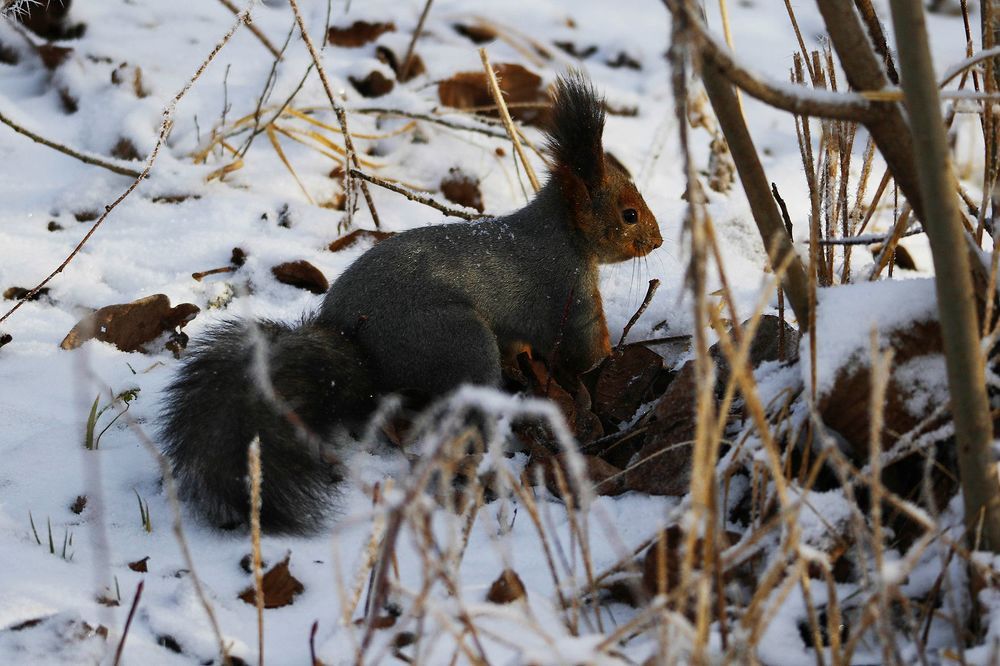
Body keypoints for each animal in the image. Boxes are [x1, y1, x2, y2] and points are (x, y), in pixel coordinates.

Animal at [159, 72, 662, 533]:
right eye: (629, 214)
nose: (657, 241)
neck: (562, 233)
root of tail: (353, 343)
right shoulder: (568, 293)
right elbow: (586, 351)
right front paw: (612, 358)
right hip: (457, 339)